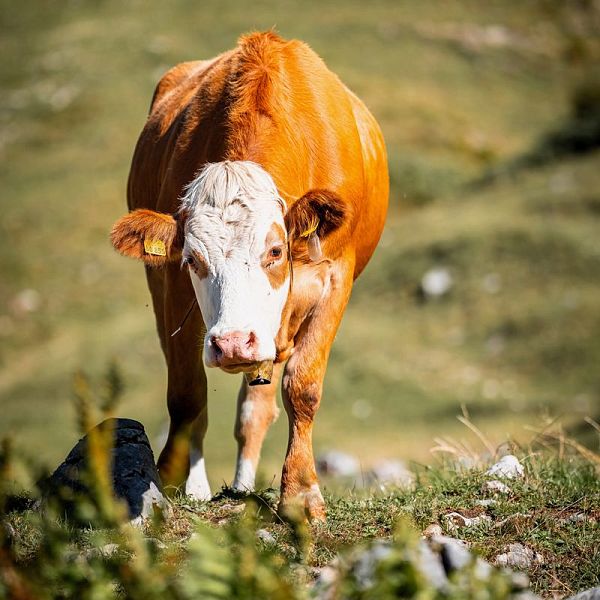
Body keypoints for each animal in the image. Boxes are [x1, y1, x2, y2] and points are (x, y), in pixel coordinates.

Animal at [109, 31, 390, 520]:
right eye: (193, 259)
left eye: (275, 251)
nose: (234, 343)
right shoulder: (174, 289)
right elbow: (187, 395)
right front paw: (170, 480)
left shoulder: (335, 279)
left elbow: (302, 388)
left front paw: (301, 493)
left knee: (256, 410)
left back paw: (242, 488)